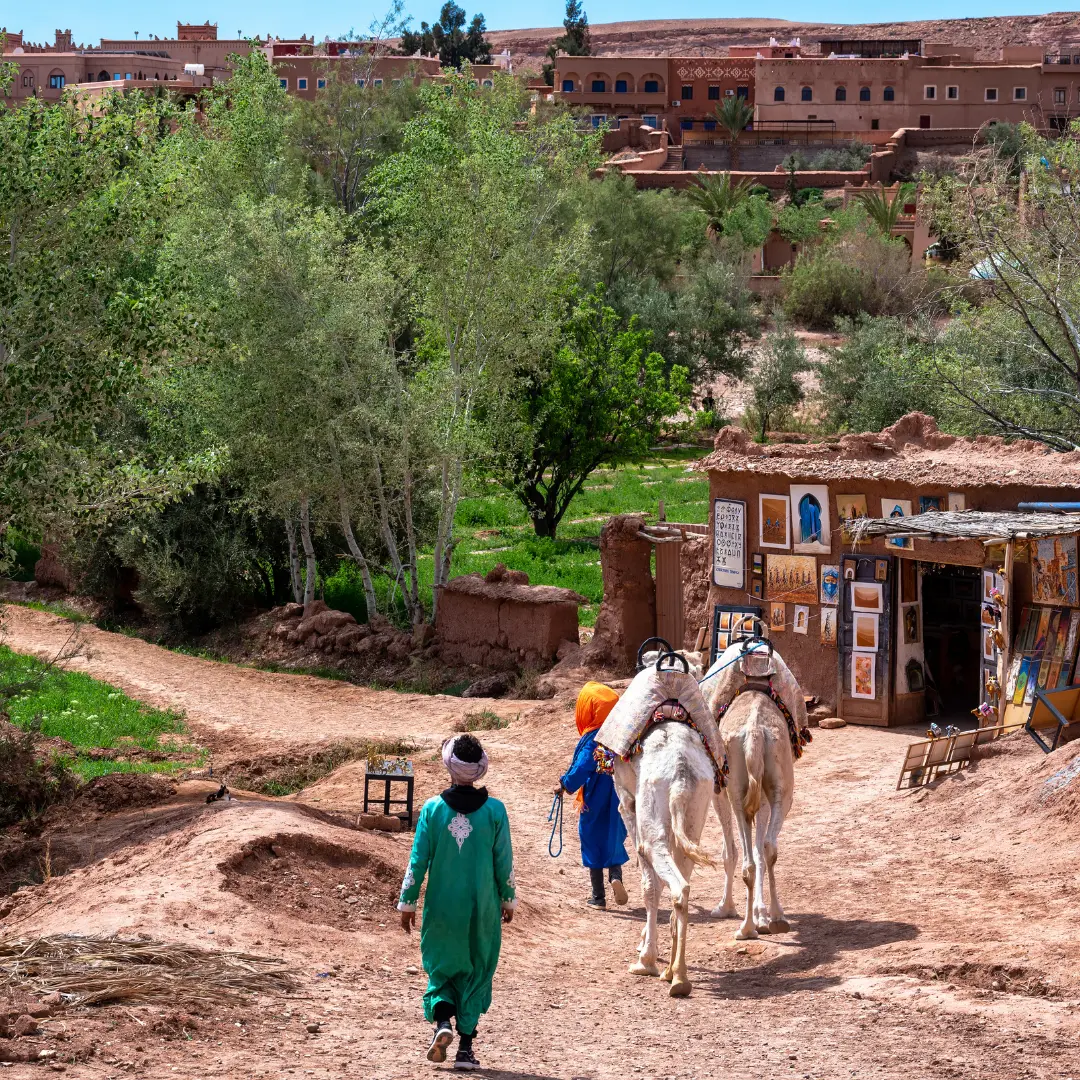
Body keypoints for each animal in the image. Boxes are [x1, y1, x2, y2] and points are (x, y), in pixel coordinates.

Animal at [704, 639, 807, 937]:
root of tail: (754, 733)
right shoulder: (761, 794)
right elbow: (760, 847)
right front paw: (761, 914)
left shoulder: (718, 792)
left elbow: (730, 851)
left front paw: (725, 907)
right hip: (779, 789)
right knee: (768, 847)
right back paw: (775, 918)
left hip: (737, 792)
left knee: (750, 856)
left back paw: (747, 927)